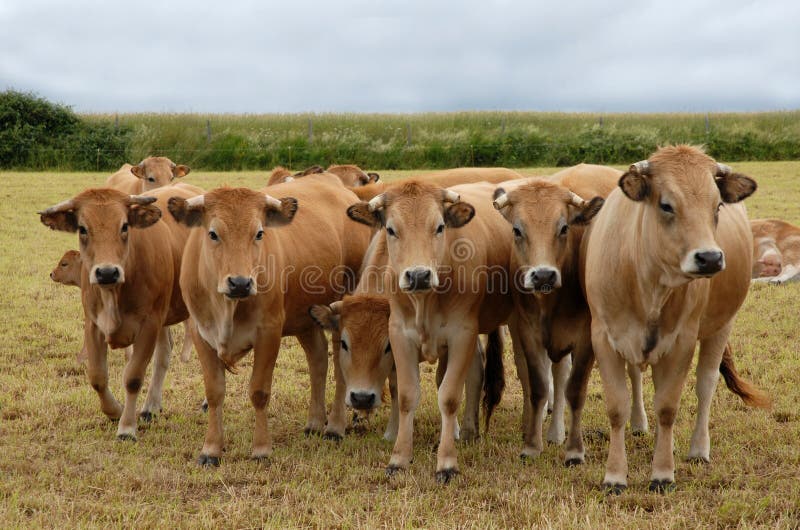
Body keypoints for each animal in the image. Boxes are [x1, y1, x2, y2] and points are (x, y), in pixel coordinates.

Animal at [39, 184, 198, 440]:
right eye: (82, 229)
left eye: (124, 226)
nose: (106, 272)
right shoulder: (93, 325)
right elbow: (97, 377)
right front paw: (114, 411)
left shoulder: (148, 325)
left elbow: (133, 377)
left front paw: (127, 428)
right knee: (164, 354)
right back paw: (151, 407)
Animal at [168, 173, 372, 462]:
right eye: (213, 234)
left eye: (259, 233)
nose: (240, 283)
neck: (227, 306)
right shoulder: (201, 333)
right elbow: (215, 392)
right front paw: (211, 449)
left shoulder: (269, 332)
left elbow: (259, 391)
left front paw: (261, 448)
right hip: (305, 318)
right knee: (318, 359)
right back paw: (314, 421)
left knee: (339, 368)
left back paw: (334, 426)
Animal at [348, 179, 512, 480]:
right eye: (391, 229)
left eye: (439, 226)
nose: (418, 275)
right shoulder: (400, 336)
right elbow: (406, 396)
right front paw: (399, 458)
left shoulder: (461, 335)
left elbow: (448, 396)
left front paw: (446, 462)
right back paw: (469, 430)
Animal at [580, 144, 768, 490]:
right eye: (666, 204)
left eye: (717, 205)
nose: (710, 257)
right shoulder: (604, 337)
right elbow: (617, 407)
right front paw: (615, 475)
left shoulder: (682, 342)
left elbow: (667, 407)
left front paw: (663, 472)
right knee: (639, 377)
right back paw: (642, 426)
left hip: (720, 327)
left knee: (705, 384)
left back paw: (698, 448)